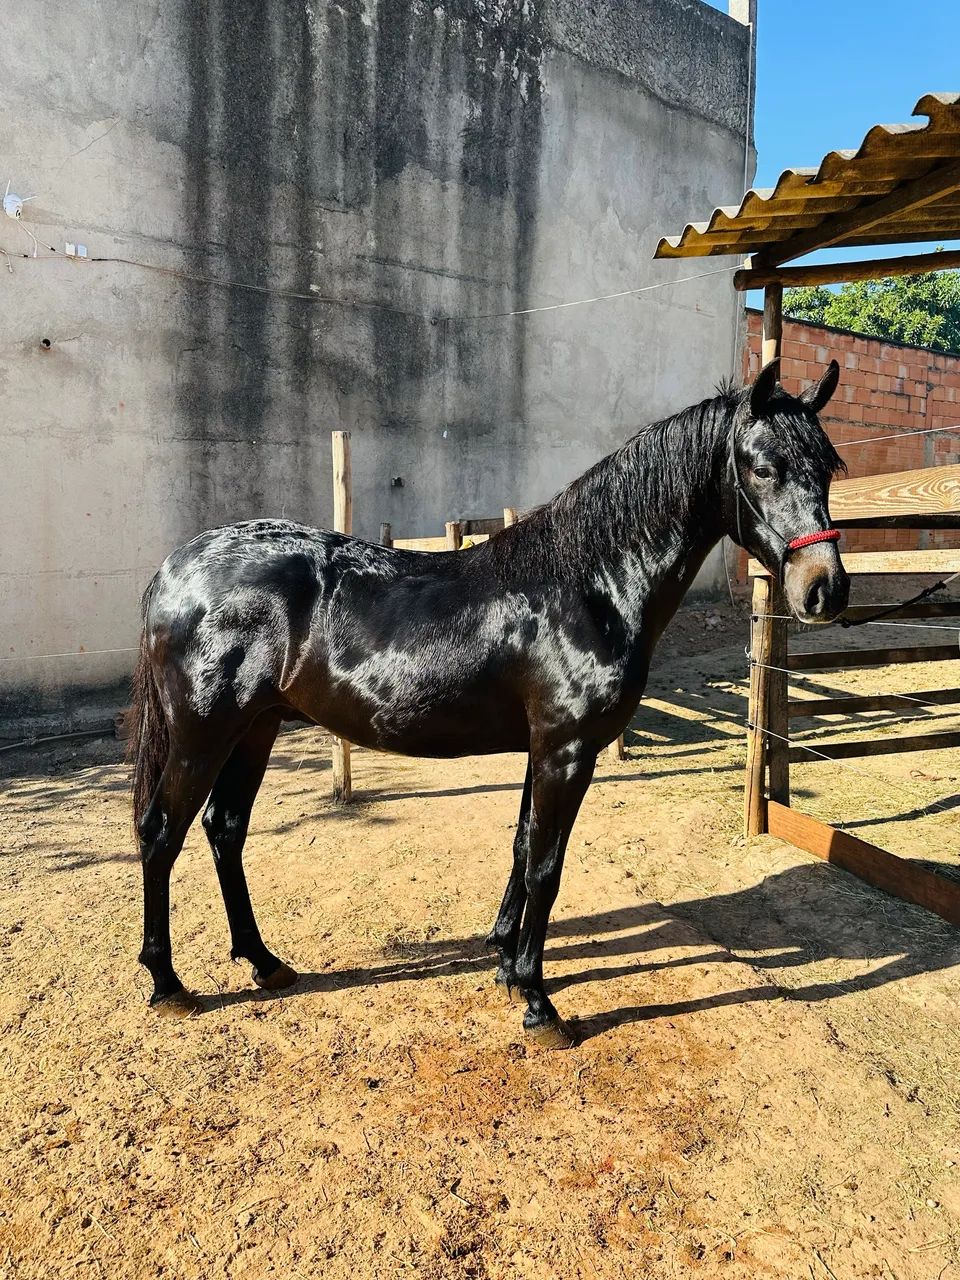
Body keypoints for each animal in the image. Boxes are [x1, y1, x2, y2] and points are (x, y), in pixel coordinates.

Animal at [130, 358, 849, 1048]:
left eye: (828, 467)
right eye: (763, 467)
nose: (825, 590)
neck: (589, 584)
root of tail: (176, 568)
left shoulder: (543, 748)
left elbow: (523, 851)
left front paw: (504, 961)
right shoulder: (566, 751)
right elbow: (547, 869)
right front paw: (538, 1002)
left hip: (256, 729)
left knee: (226, 830)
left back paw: (264, 962)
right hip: (204, 735)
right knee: (161, 833)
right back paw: (168, 984)